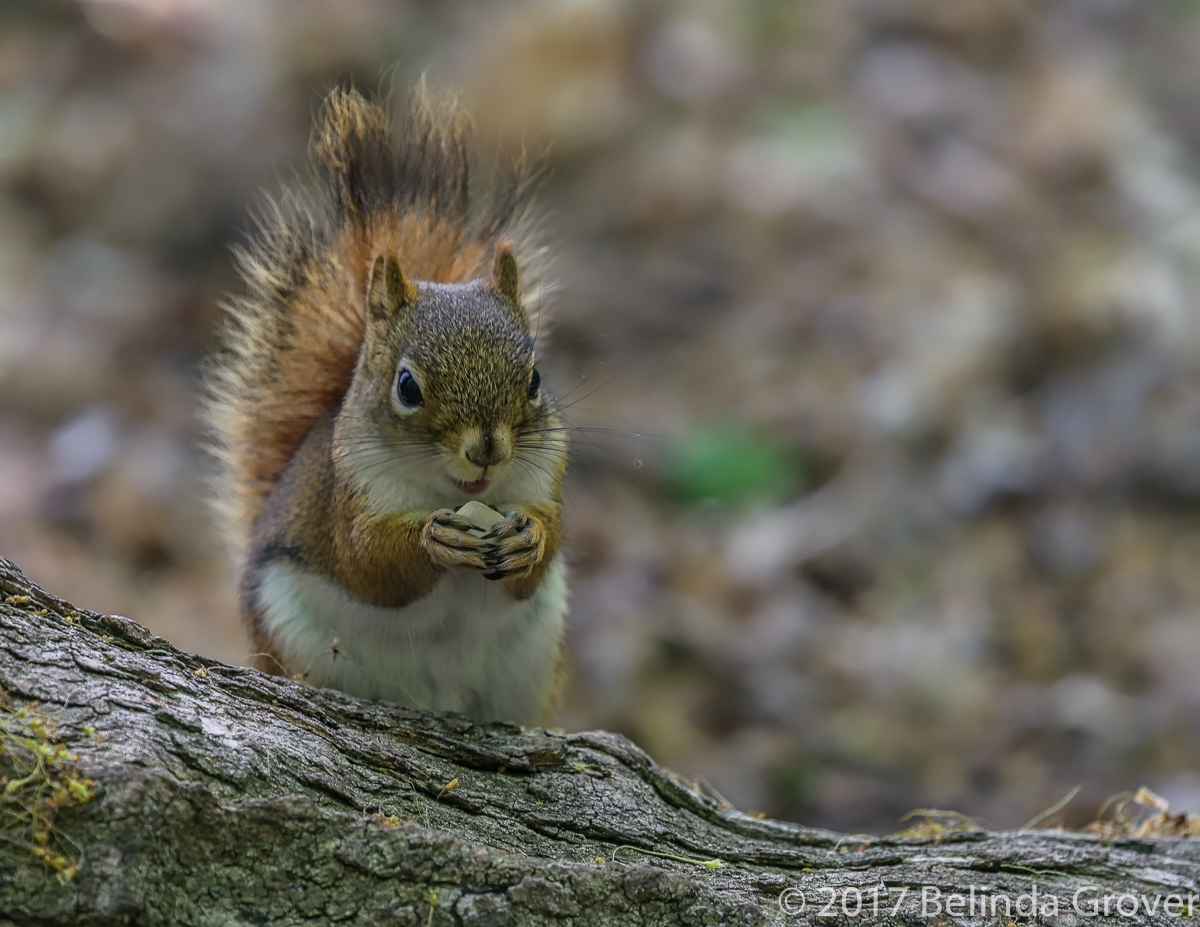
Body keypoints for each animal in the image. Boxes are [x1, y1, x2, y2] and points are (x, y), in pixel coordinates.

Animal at [203, 86, 568, 725]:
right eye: (407, 388)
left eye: (534, 379)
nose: (487, 451)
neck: (452, 491)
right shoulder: (348, 498)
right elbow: (369, 564)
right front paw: (434, 540)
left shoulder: (545, 478)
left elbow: (548, 541)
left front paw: (529, 540)